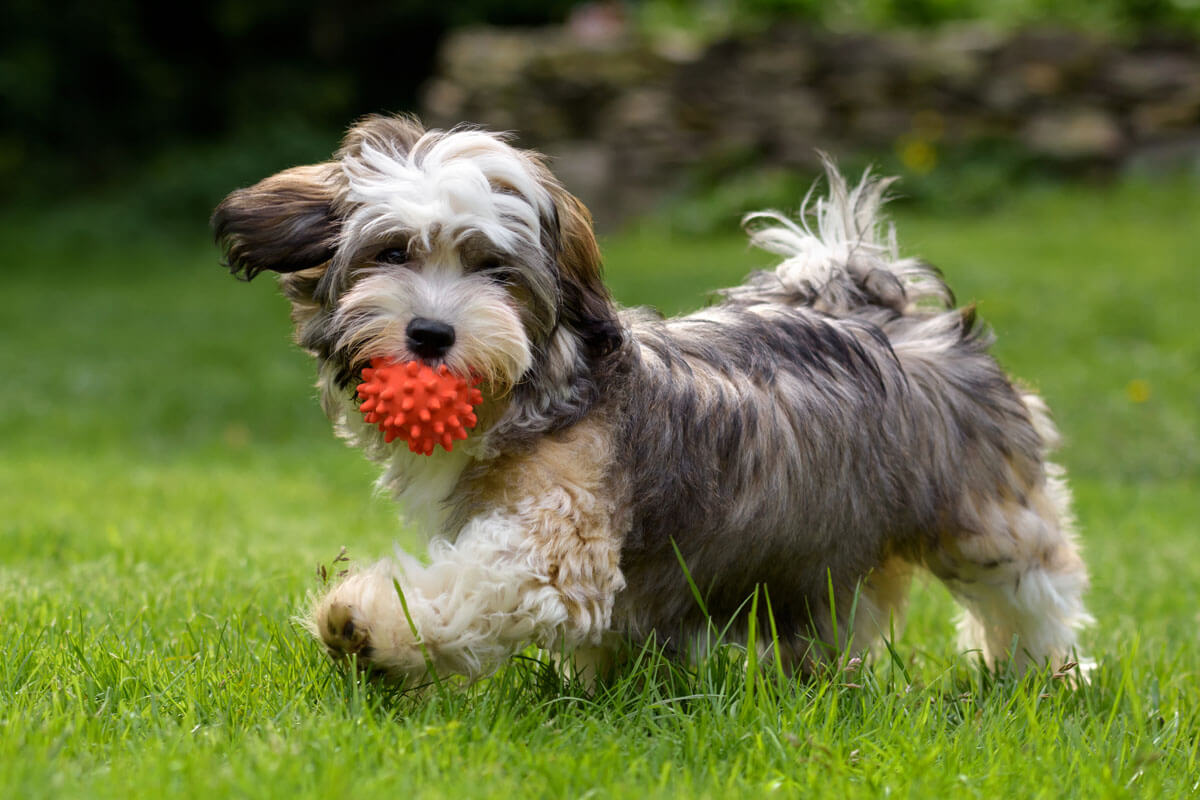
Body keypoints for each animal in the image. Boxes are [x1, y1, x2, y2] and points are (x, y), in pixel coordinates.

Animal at [211, 113, 1094, 681]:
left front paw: (366, 623)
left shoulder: (554, 543)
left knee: (1032, 587)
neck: (535, 393)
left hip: (984, 512)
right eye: (392, 253)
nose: (430, 334)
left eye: (495, 270)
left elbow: (475, 585)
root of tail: (890, 312)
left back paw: (1044, 674)